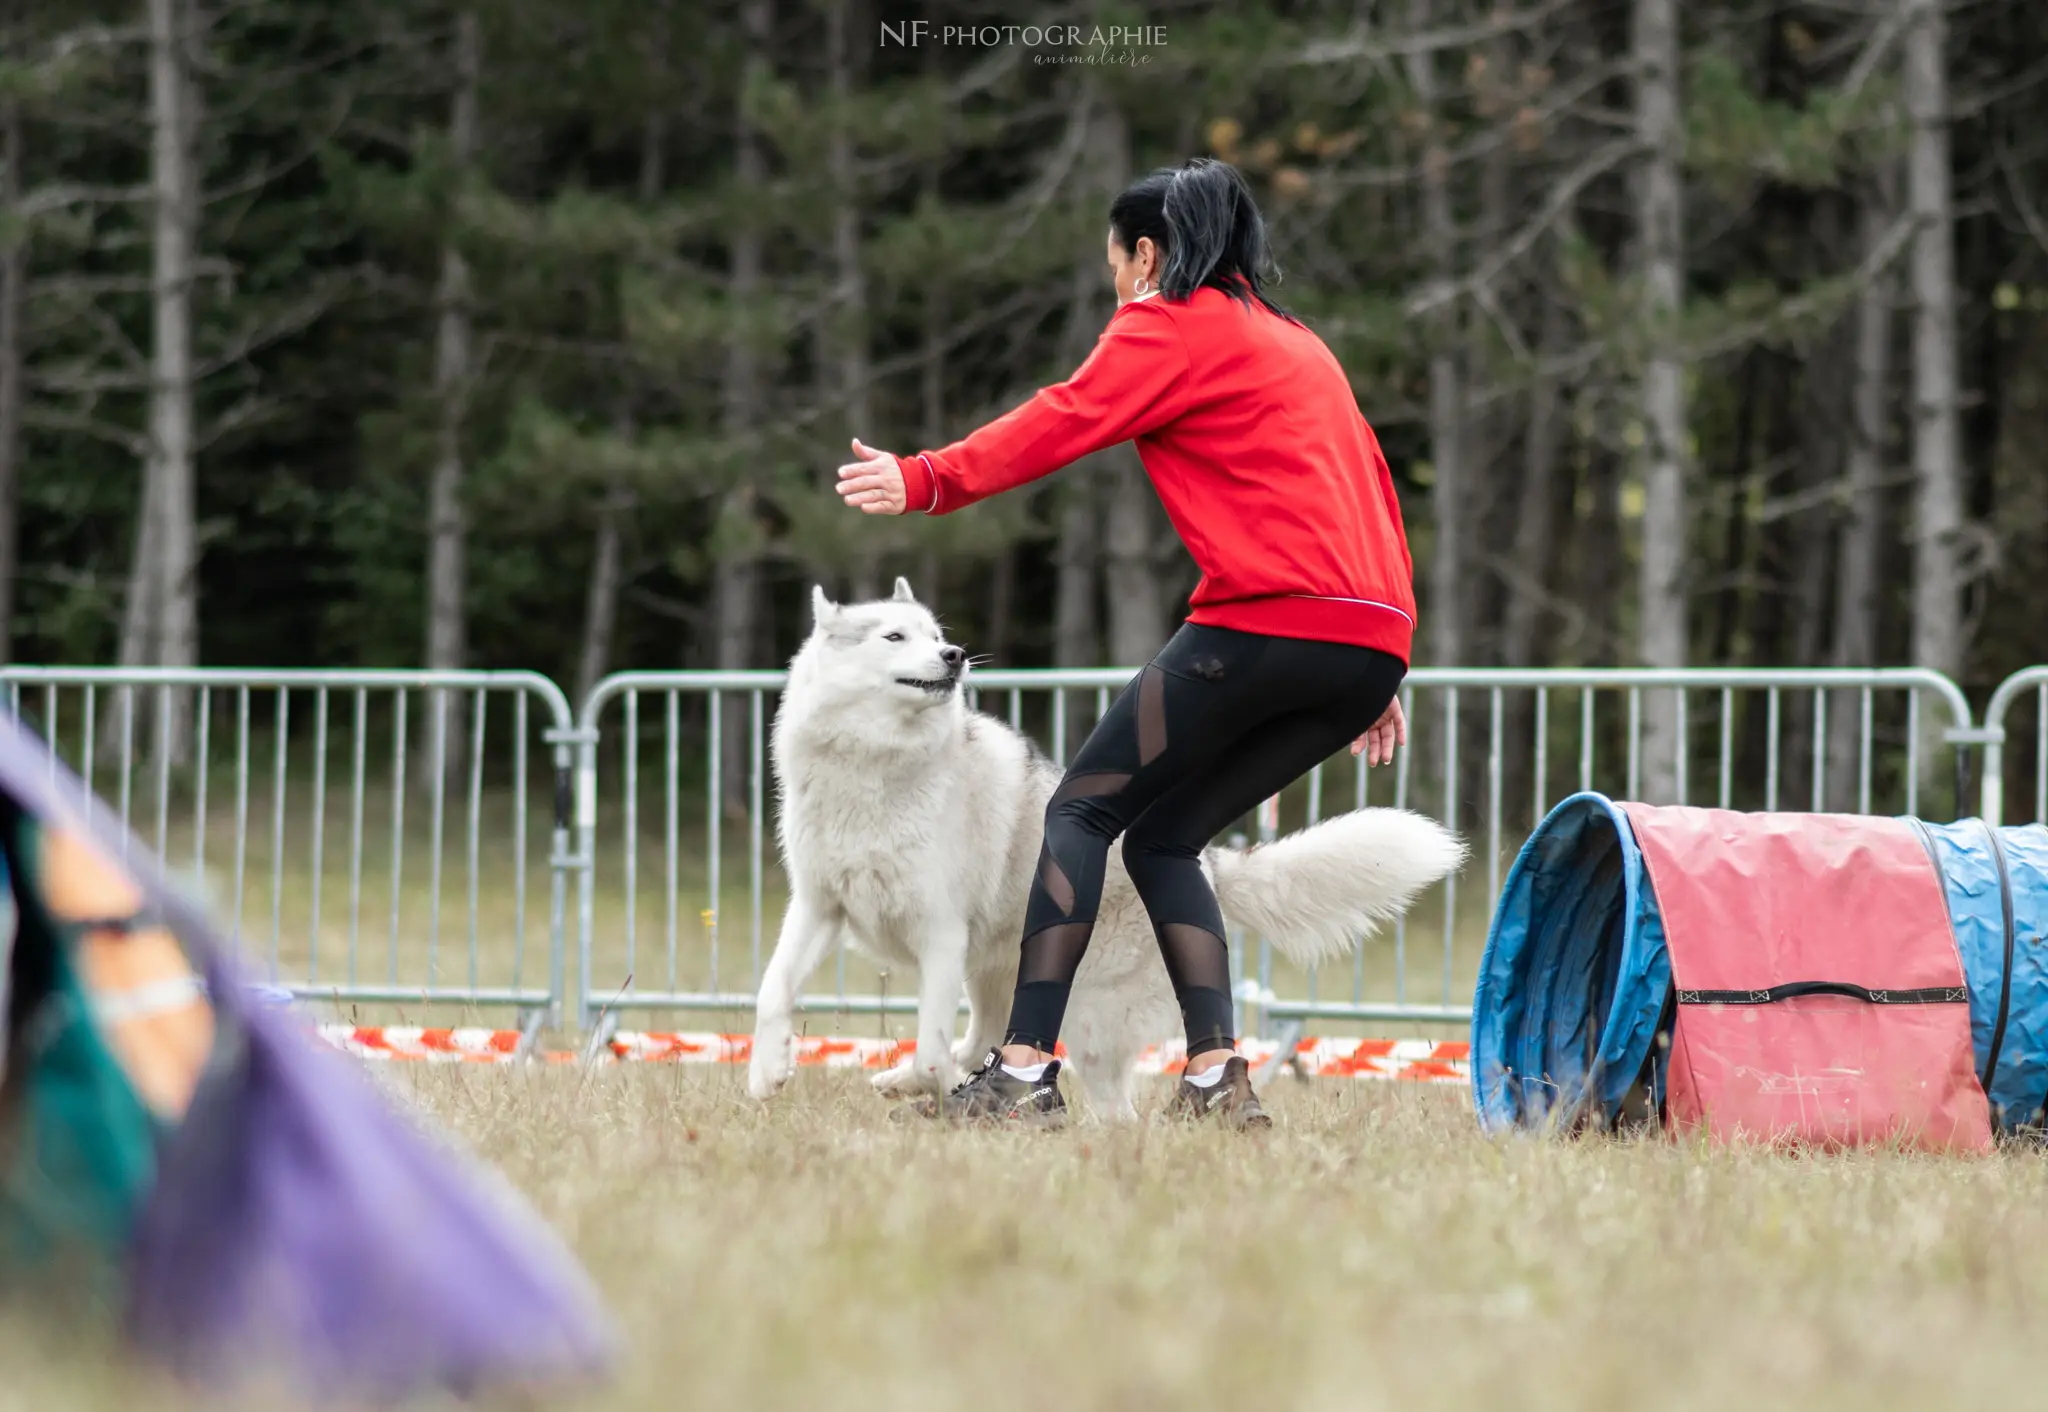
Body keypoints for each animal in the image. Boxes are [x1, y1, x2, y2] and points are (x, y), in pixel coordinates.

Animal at [745, 577, 1466, 1114]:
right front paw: (766, 1074)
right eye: (895, 636)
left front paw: (922, 1084)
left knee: (1093, 1096)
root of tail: (1205, 864)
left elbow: (927, 1045)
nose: (955, 656)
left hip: (1080, 1012)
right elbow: (773, 990)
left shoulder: (939, 933)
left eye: (937, 636)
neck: (872, 767)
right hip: (997, 968)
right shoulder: (818, 909)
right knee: (984, 1039)